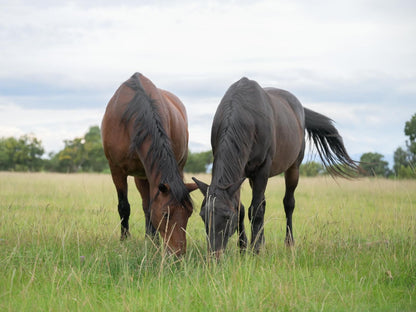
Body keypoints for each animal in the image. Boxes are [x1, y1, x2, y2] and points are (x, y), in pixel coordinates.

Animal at [102, 72, 197, 256]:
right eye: (166, 214)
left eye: (189, 213)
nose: (178, 253)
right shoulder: (116, 170)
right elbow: (124, 207)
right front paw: (124, 241)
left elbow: (149, 208)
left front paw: (153, 242)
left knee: (147, 206)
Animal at [192, 77, 358, 258]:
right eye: (202, 216)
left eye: (227, 217)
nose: (214, 255)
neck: (244, 115)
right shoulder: (240, 173)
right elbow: (242, 208)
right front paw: (243, 247)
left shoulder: (262, 169)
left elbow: (255, 210)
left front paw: (255, 250)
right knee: (263, 203)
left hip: (293, 168)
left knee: (288, 203)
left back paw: (289, 243)